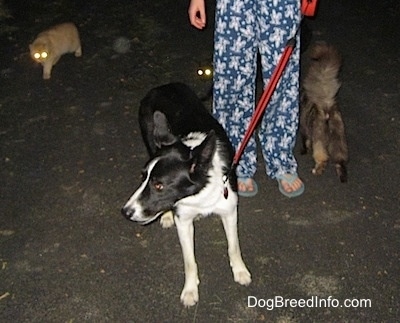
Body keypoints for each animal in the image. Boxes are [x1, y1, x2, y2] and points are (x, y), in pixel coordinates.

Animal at [121, 82, 250, 308]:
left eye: (159, 186)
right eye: (143, 177)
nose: (125, 212)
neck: (199, 192)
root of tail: (162, 86)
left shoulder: (229, 211)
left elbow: (234, 246)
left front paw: (240, 270)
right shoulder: (184, 222)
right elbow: (189, 261)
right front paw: (190, 290)